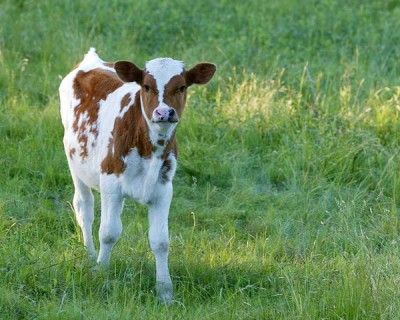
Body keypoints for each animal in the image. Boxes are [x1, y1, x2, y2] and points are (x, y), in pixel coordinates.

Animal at [59, 47, 216, 300]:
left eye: (182, 87)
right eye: (147, 86)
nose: (164, 112)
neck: (148, 148)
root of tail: (92, 59)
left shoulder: (164, 189)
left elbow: (160, 241)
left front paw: (165, 291)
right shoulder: (111, 184)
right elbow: (109, 232)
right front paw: (101, 271)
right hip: (74, 161)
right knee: (84, 207)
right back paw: (90, 255)